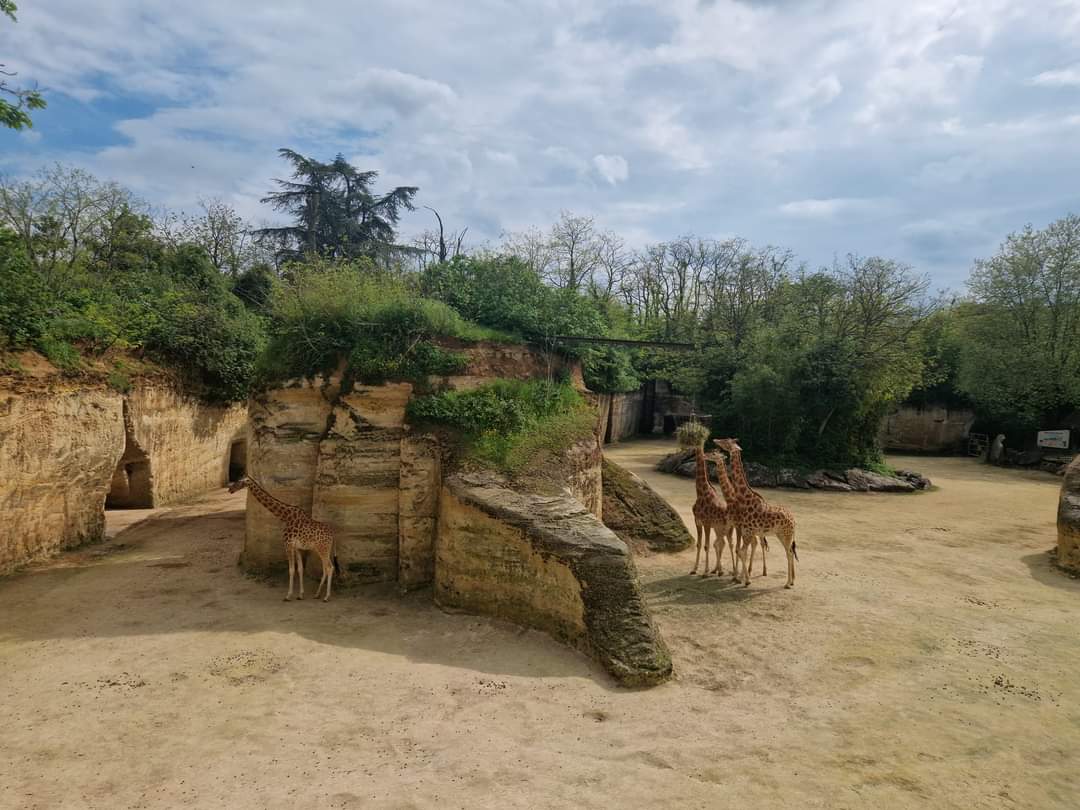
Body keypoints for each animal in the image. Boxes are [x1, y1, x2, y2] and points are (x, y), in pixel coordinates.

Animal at [690, 444, 735, 576]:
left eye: (714, 453)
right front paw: (694, 569)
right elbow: (699, 544)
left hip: (727, 529)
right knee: (720, 543)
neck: (701, 493)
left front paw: (705, 571)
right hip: (718, 529)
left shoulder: (707, 523)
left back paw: (730, 571)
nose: (704, 455)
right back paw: (718, 570)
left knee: (728, 544)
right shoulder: (697, 521)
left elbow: (707, 545)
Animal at [712, 438, 798, 588]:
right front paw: (742, 578)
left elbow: (740, 550)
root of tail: (794, 520)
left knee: (788, 553)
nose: (715, 440)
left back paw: (787, 583)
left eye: (726, 441)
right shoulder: (746, 530)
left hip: (785, 535)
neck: (744, 498)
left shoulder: (746, 530)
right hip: (781, 535)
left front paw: (743, 579)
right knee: (789, 552)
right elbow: (741, 550)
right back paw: (791, 581)